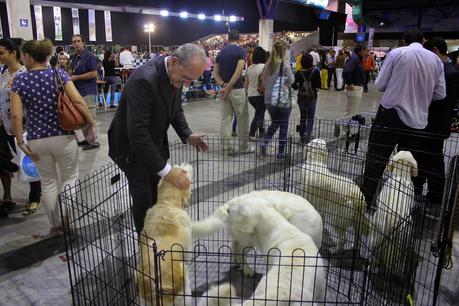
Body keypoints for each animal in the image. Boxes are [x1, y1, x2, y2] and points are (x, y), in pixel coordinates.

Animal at [192, 190, 326, 276]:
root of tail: (233, 201)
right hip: (249, 239)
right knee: (240, 252)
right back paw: (247, 270)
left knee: (234, 246)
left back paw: (236, 262)